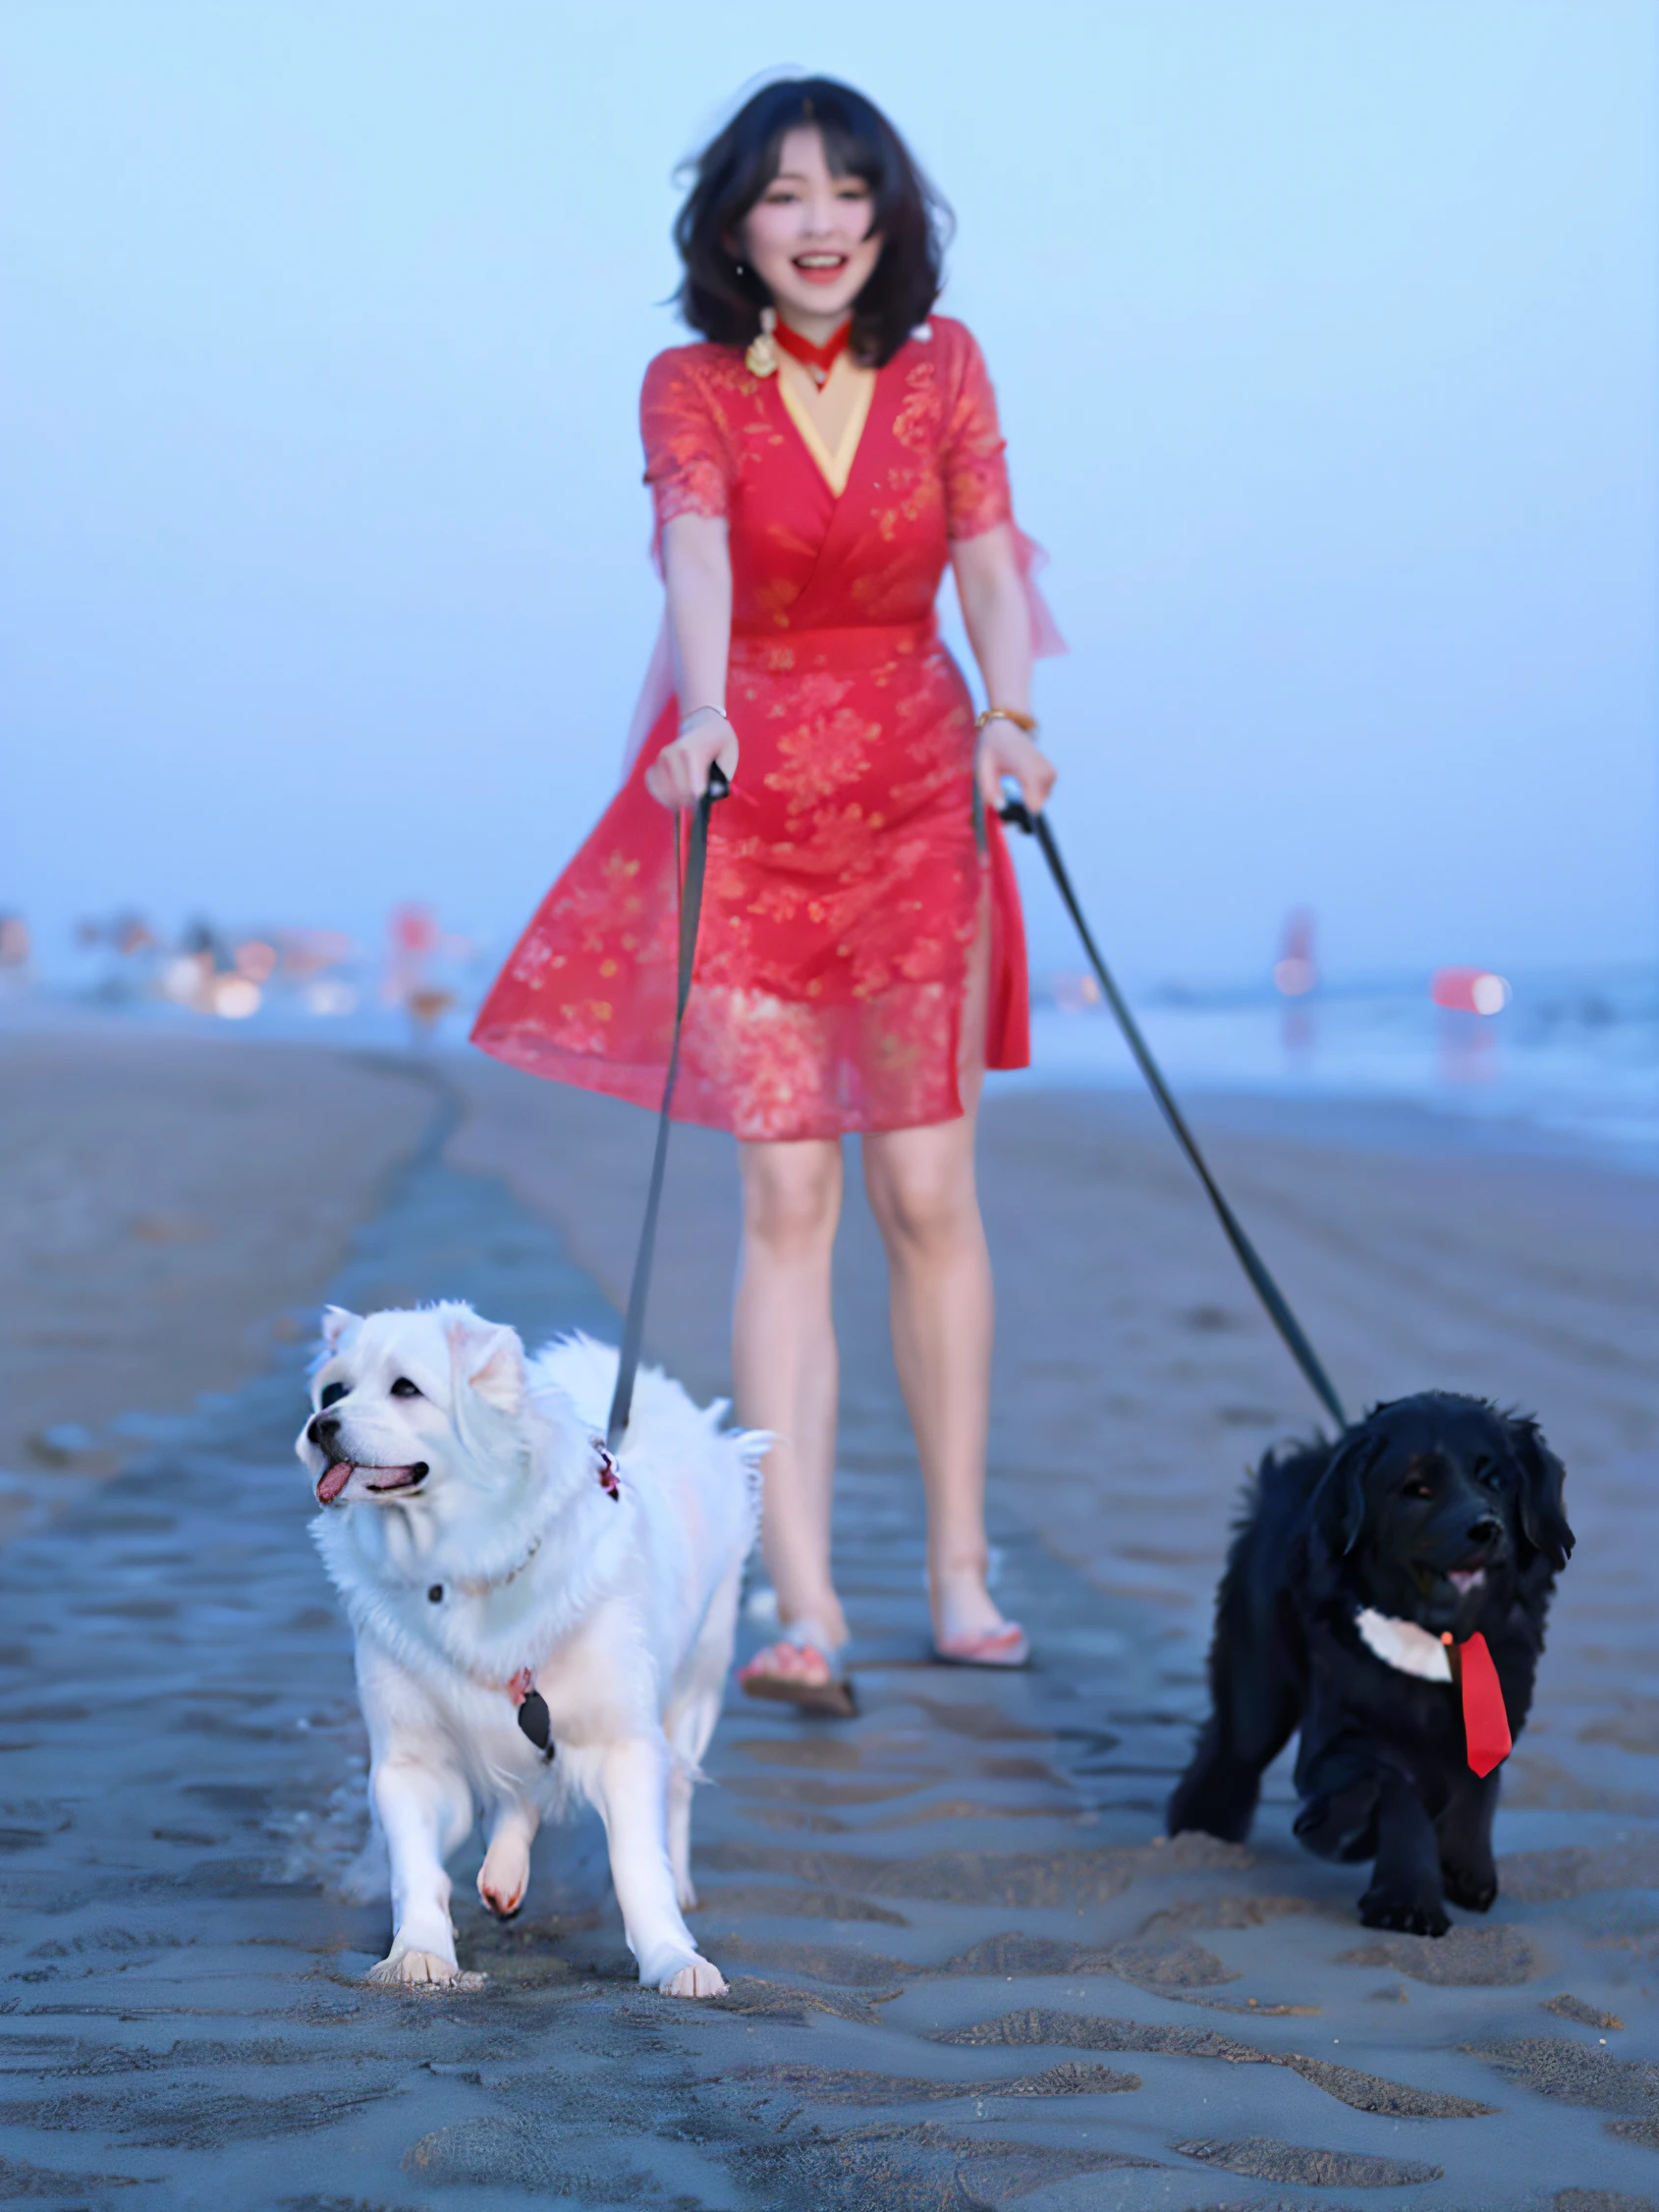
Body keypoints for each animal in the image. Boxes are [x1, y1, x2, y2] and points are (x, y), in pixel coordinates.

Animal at [296, 1300, 765, 1999]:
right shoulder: (413, 1757)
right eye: (333, 1393)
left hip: (696, 1686)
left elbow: (637, 1865)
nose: (319, 1426)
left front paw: (673, 1958)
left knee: (677, 1792)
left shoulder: (624, 1742)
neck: (460, 1567)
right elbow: (417, 1867)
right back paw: (502, 1874)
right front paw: (419, 1953)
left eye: (405, 1389)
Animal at [1168, 1398, 1575, 1937]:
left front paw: (1466, 1867)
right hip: (1259, 1686)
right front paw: (1400, 1894)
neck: (1436, 1642)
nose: (1487, 1529)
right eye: (1416, 1489)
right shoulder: (1333, 1738)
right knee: (1233, 1749)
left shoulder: (1494, 1711)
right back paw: (1200, 1828)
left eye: (1495, 1480)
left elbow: (1476, 1788)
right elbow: (1393, 1787)